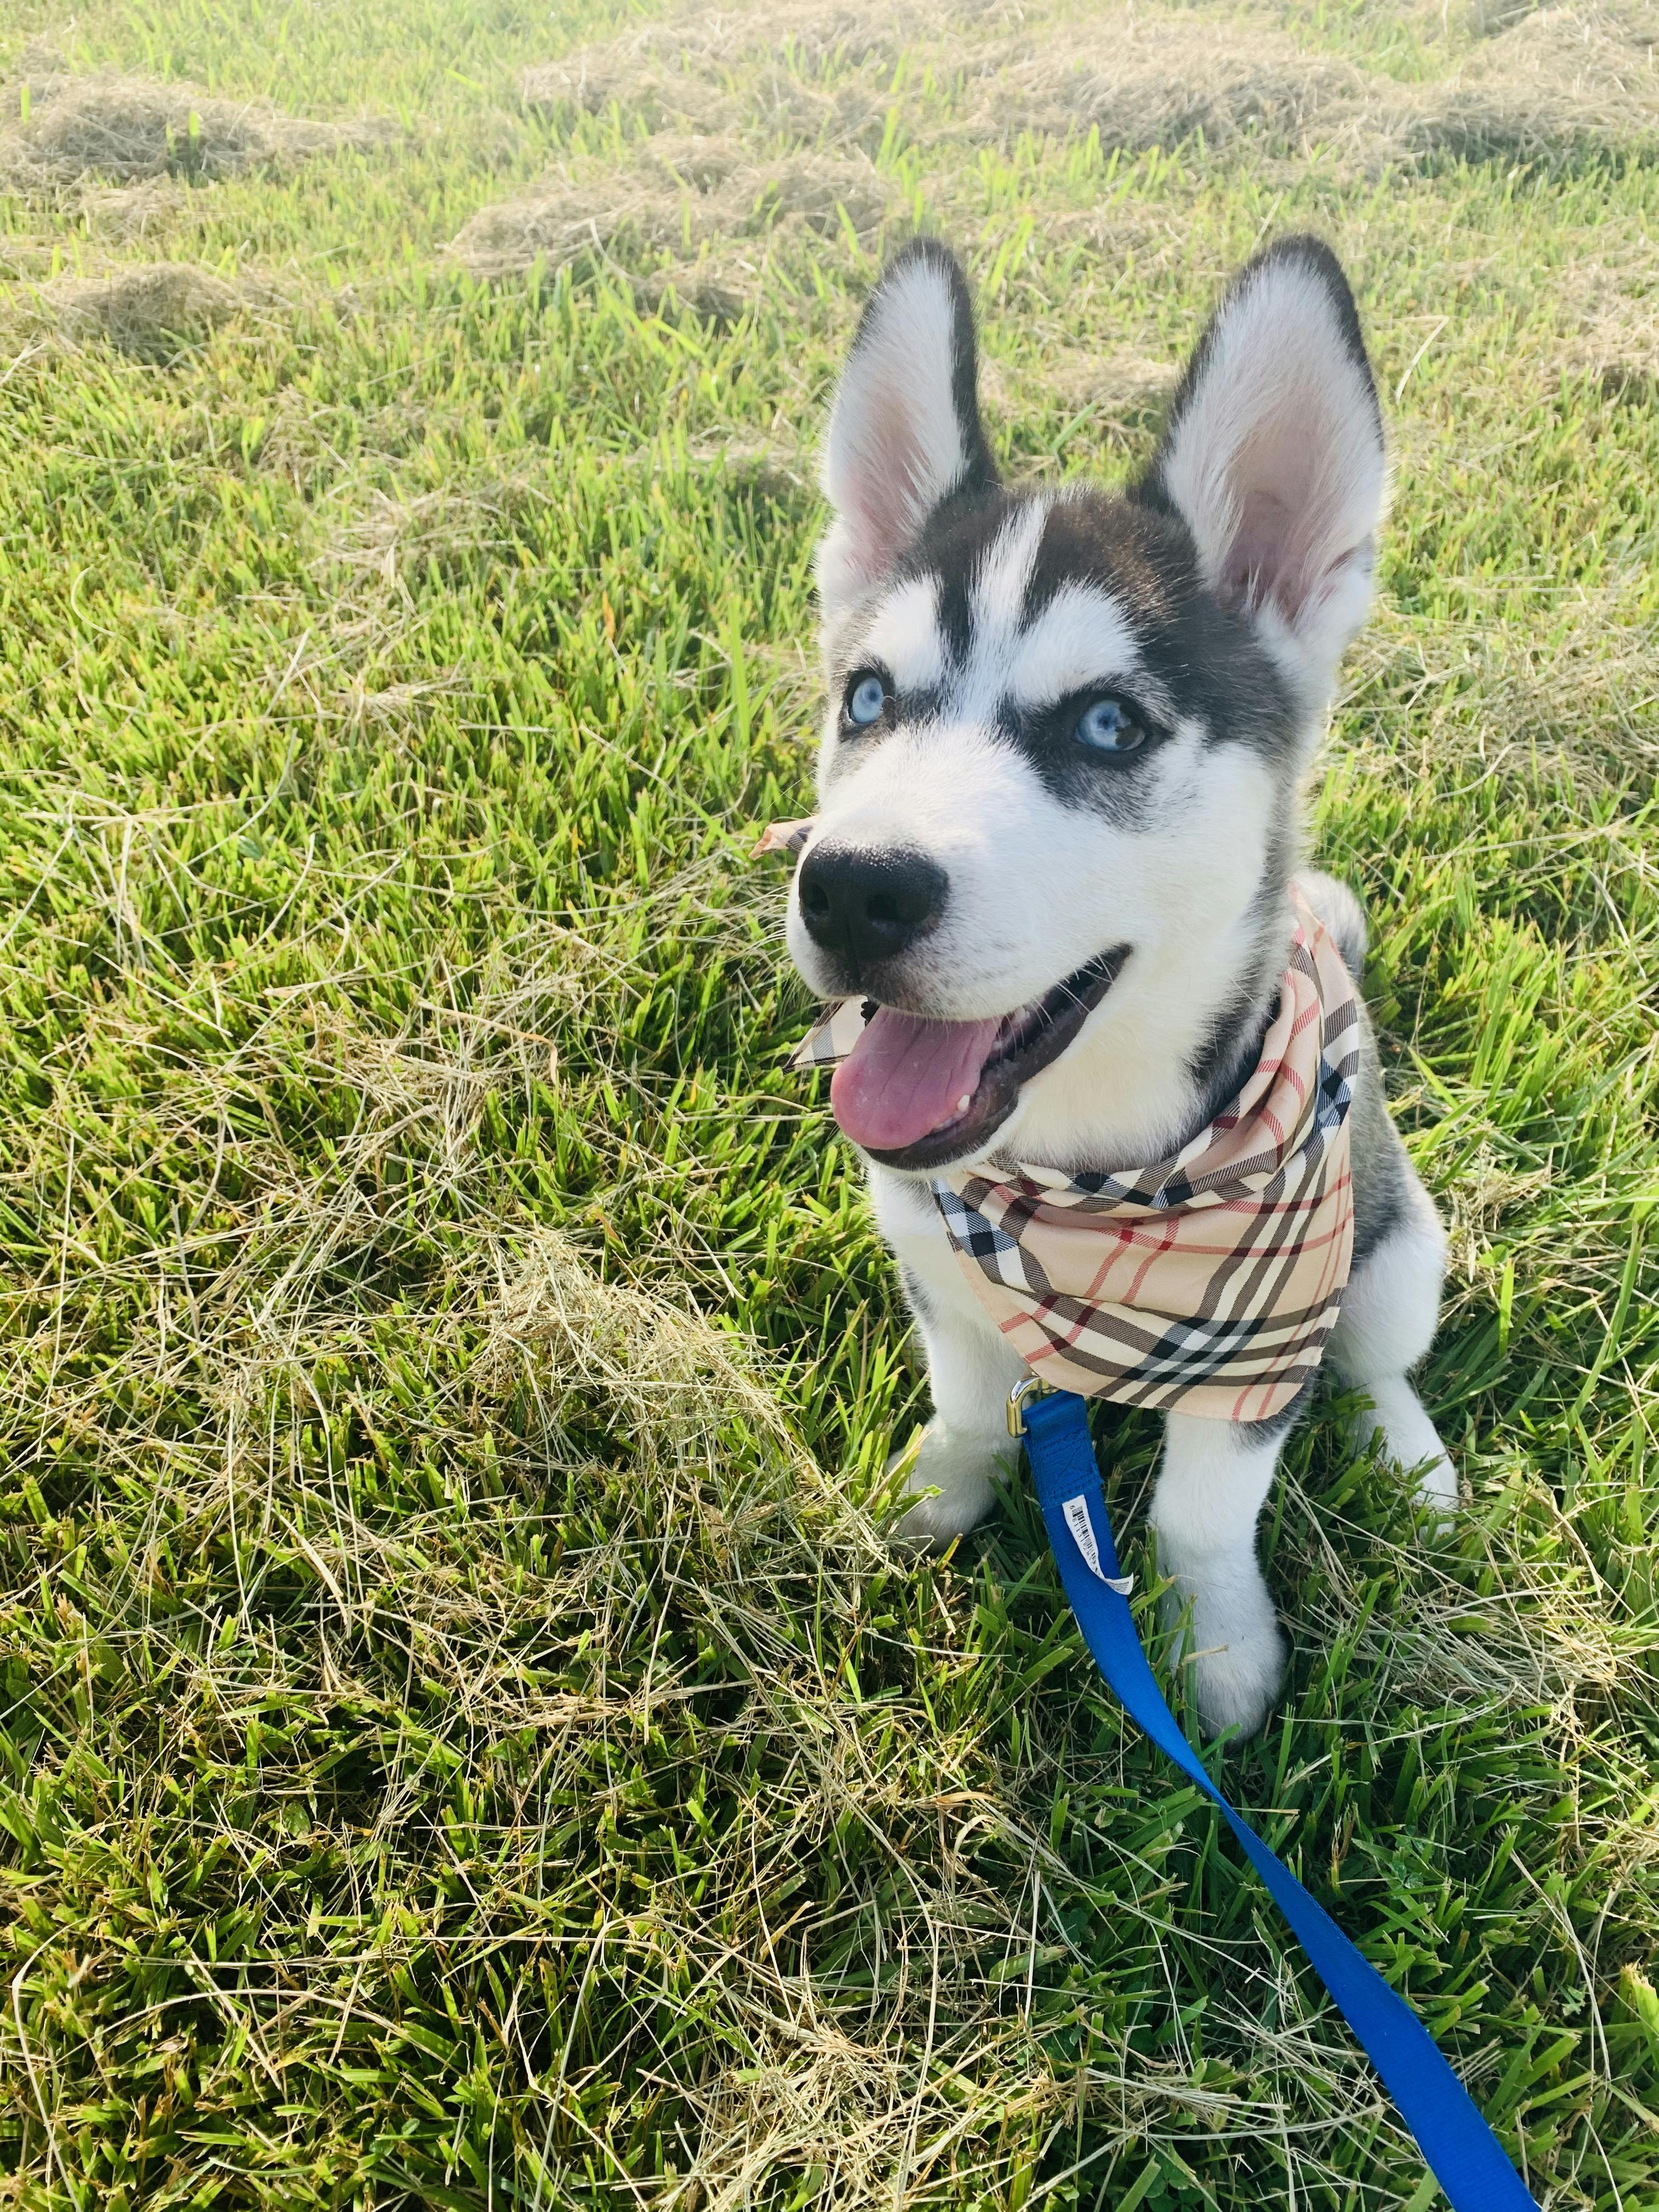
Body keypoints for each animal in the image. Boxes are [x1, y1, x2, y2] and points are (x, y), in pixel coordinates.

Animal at [787, 233, 1451, 1734]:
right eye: (867, 700)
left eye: (1106, 725)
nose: (849, 887)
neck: (1083, 1180)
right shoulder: (940, 1269)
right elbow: (967, 1407)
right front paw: (939, 1499)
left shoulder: (1262, 1347)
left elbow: (1206, 1516)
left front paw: (1221, 1656)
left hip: (1401, 1245)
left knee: (1381, 1358)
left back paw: (1412, 1457)